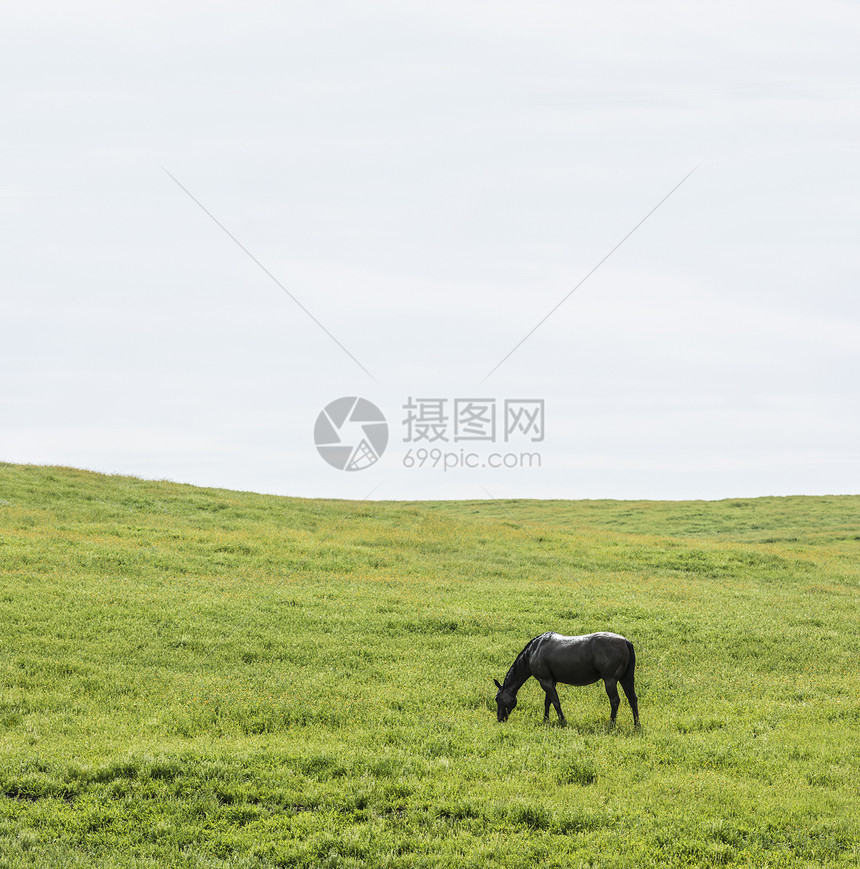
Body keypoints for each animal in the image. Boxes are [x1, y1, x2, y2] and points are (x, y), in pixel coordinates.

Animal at [498, 632, 640, 724]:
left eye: (497, 699)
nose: (500, 718)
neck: (534, 651)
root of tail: (626, 642)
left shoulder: (545, 681)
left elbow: (555, 701)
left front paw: (562, 721)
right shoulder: (550, 681)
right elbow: (548, 702)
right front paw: (545, 720)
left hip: (610, 680)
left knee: (615, 701)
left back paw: (611, 724)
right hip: (625, 679)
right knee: (632, 699)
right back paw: (636, 725)